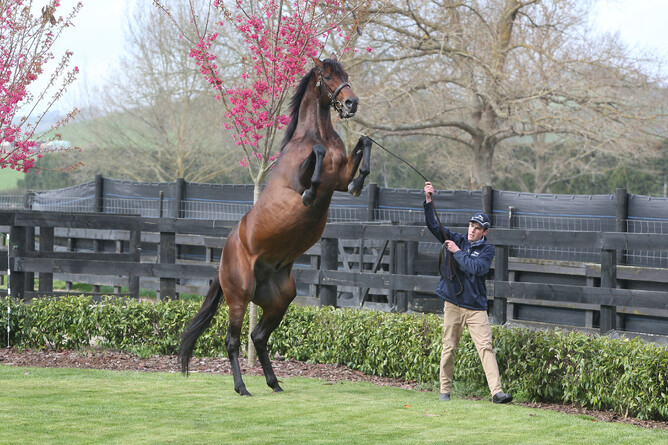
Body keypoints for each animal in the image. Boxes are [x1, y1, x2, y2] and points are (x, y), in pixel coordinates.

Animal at [178, 54, 372, 396]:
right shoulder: (307, 172)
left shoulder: (339, 178)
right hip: (240, 297)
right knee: (232, 341)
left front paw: (360, 183)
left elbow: (364, 144)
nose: (351, 103)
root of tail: (223, 260)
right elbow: (317, 159)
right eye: (328, 77)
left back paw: (274, 383)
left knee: (258, 336)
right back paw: (242, 387)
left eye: (345, 73)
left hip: (280, 300)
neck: (316, 135)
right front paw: (309, 193)